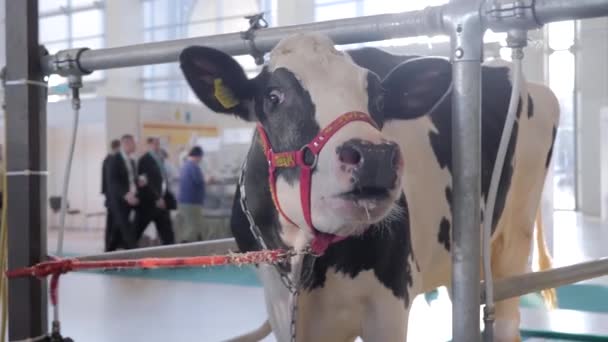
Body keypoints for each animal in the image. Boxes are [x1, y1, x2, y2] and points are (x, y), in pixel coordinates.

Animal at [178, 32, 560, 342]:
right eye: (273, 97)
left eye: (377, 98)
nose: (375, 156)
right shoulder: (280, 304)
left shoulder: (391, 300)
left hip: (513, 237)